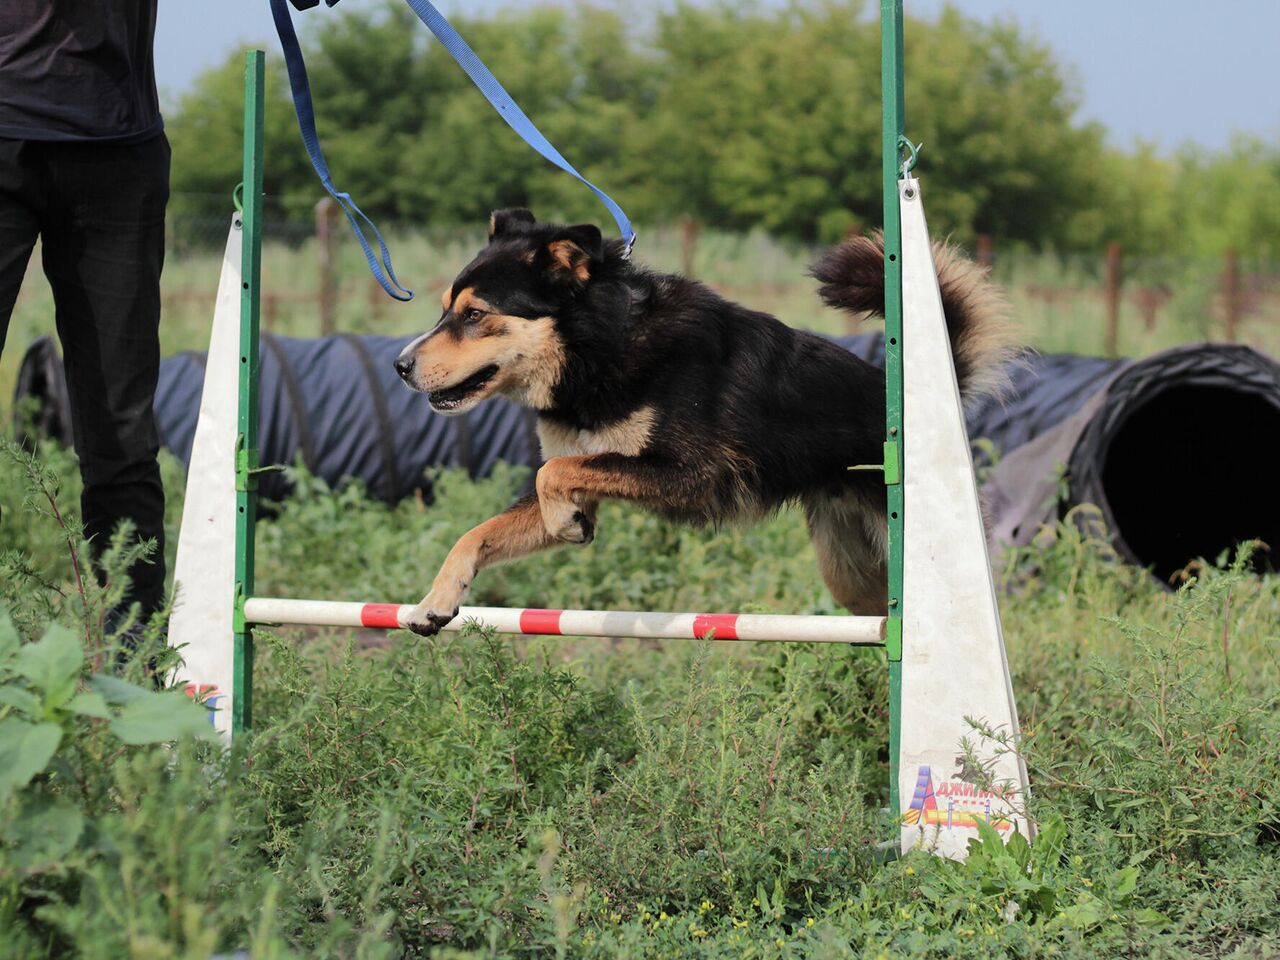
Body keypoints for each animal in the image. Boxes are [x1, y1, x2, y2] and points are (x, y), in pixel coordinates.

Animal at [389, 207, 1008, 634]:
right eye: (444, 311)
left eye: (474, 315)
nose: (399, 366)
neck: (603, 346)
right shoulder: (596, 469)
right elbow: (480, 530)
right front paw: (435, 602)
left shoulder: (694, 473)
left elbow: (552, 473)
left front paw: (566, 525)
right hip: (851, 572)